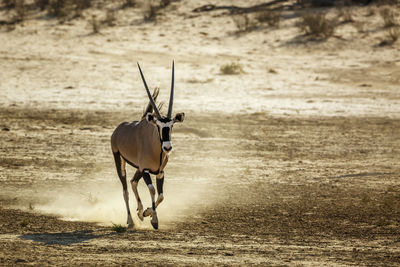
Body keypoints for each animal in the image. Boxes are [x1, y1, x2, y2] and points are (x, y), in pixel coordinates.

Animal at [109, 61, 184, 230]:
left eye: (172, 125)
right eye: (158, 126)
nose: (167, 148)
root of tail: (118, 130)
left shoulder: (159, 172)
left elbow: (161, 195)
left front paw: (146, 212)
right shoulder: (145, 170)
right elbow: (152, 190)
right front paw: (154, 220)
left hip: (137, 167)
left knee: (133, 182)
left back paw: (140, 211)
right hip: (120, 160)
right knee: (125, 189)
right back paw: (130, 220)